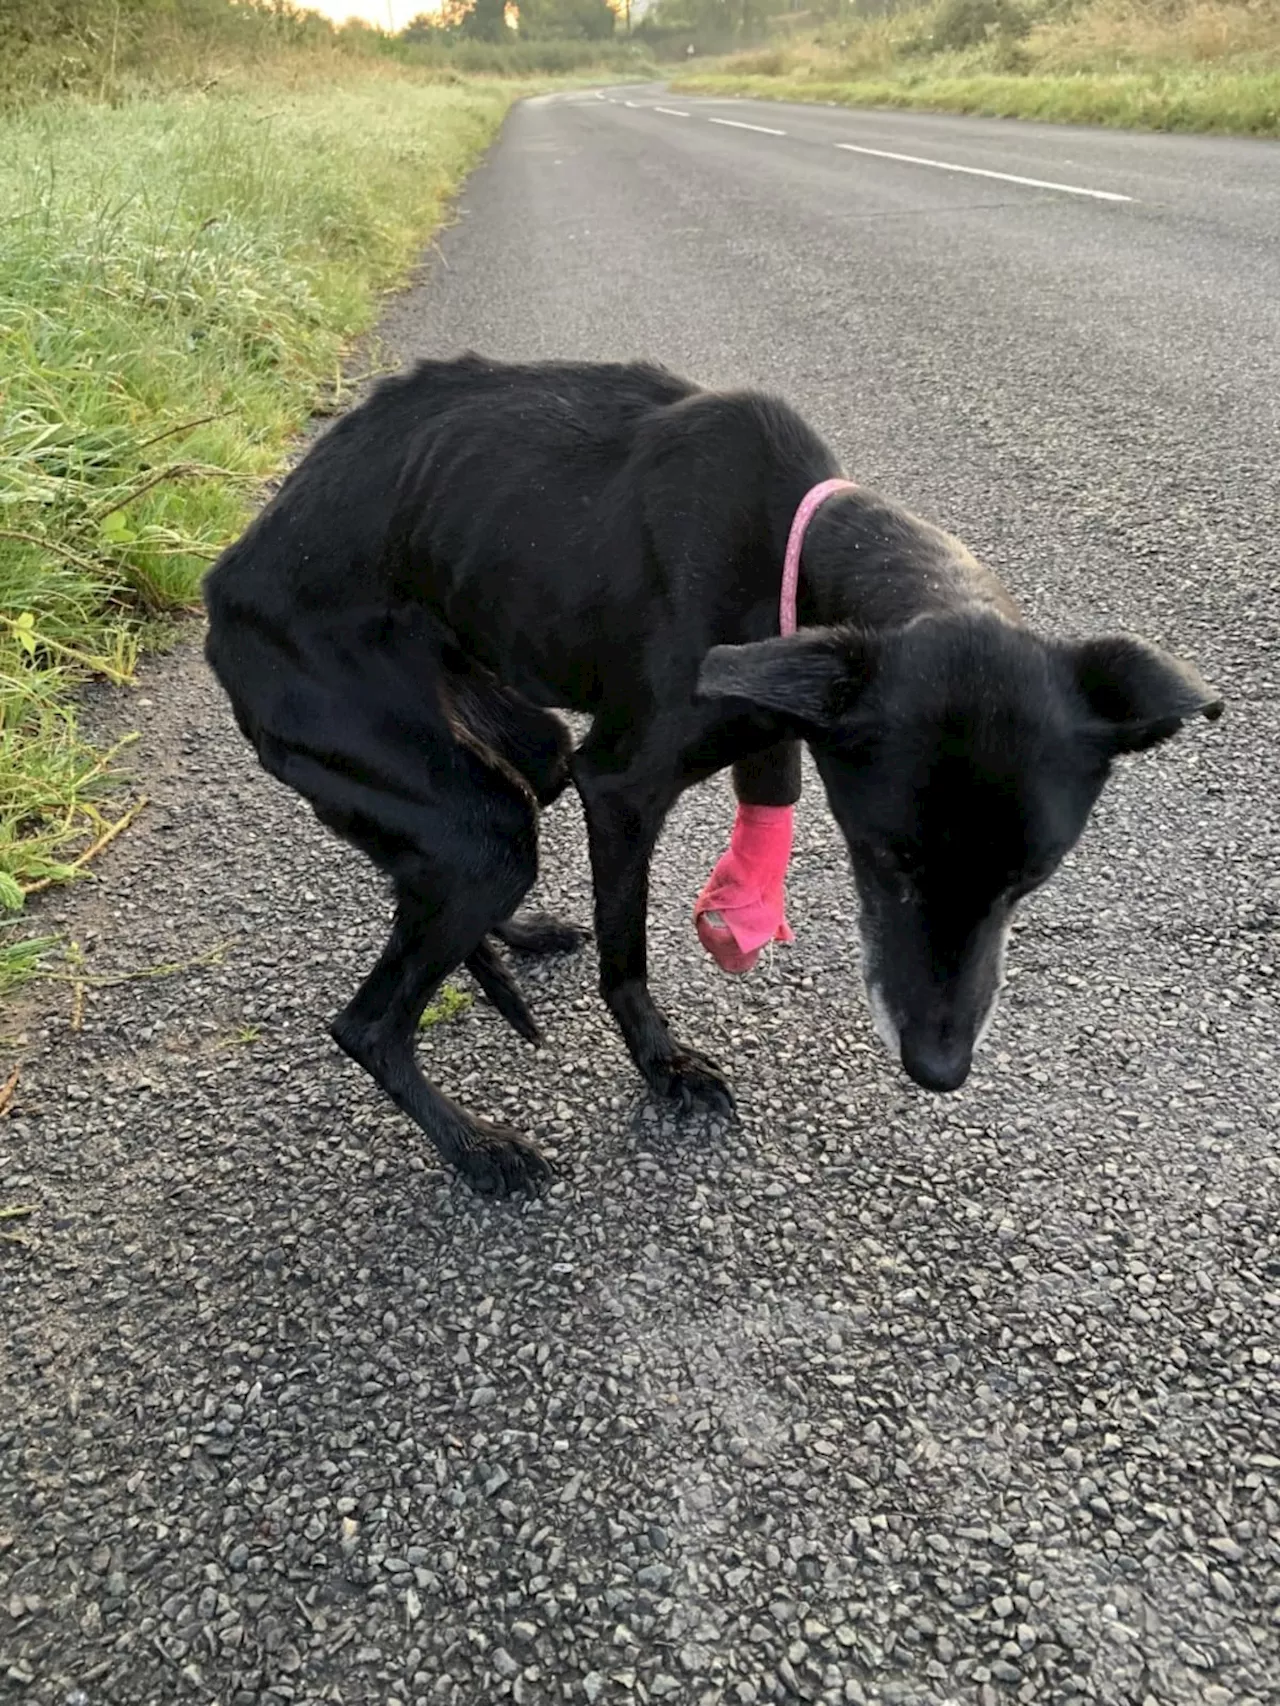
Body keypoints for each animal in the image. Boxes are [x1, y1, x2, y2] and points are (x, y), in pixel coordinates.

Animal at [205, 353, 1228, 1194]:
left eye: (1032, 879)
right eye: (886, 858)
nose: (937, 1070)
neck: (797, 548)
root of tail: (221, 592)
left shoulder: (778, 712)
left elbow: (769, 789)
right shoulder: (620, 787)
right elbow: (627, 958)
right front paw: (663, 1069)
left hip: (511, 750)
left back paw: (518, 938)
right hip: (468, 820)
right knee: (371, 1022)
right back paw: (478, 1151)